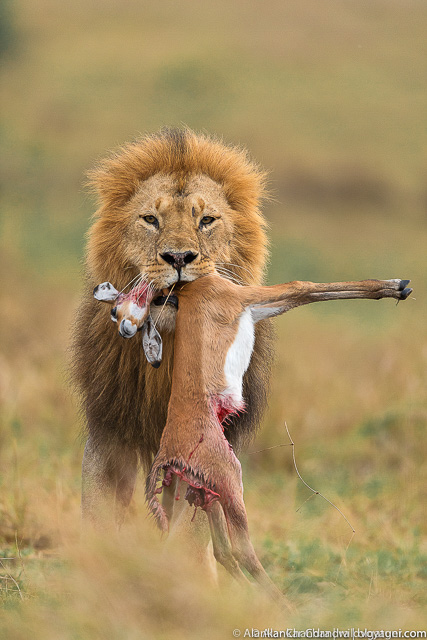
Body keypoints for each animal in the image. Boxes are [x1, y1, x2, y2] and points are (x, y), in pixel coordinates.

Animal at [72, 127, 274, 533]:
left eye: (207, 220)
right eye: (151, 219)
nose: (179, 257)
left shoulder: (204, 447)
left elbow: (190, 530)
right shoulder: (108, 429)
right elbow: (99, 513)